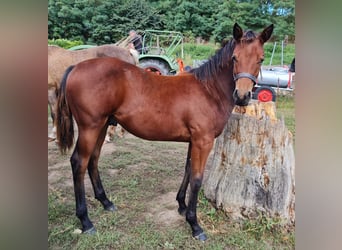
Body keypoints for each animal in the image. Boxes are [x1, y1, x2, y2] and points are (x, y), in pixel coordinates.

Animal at [57, 23, 274, 240]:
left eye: (261, 59)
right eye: (235, 57)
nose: (242, 96)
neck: (208, 90)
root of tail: (76, 67)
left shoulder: (194, 141)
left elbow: (188, 170)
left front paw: (182, 206)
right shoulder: (203, 141)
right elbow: (197, 179)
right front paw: (195, 225)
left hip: (102, 126)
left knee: (93, 160)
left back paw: (106, 202)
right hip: (90, 128)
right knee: (79, 163)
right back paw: (85, 221)